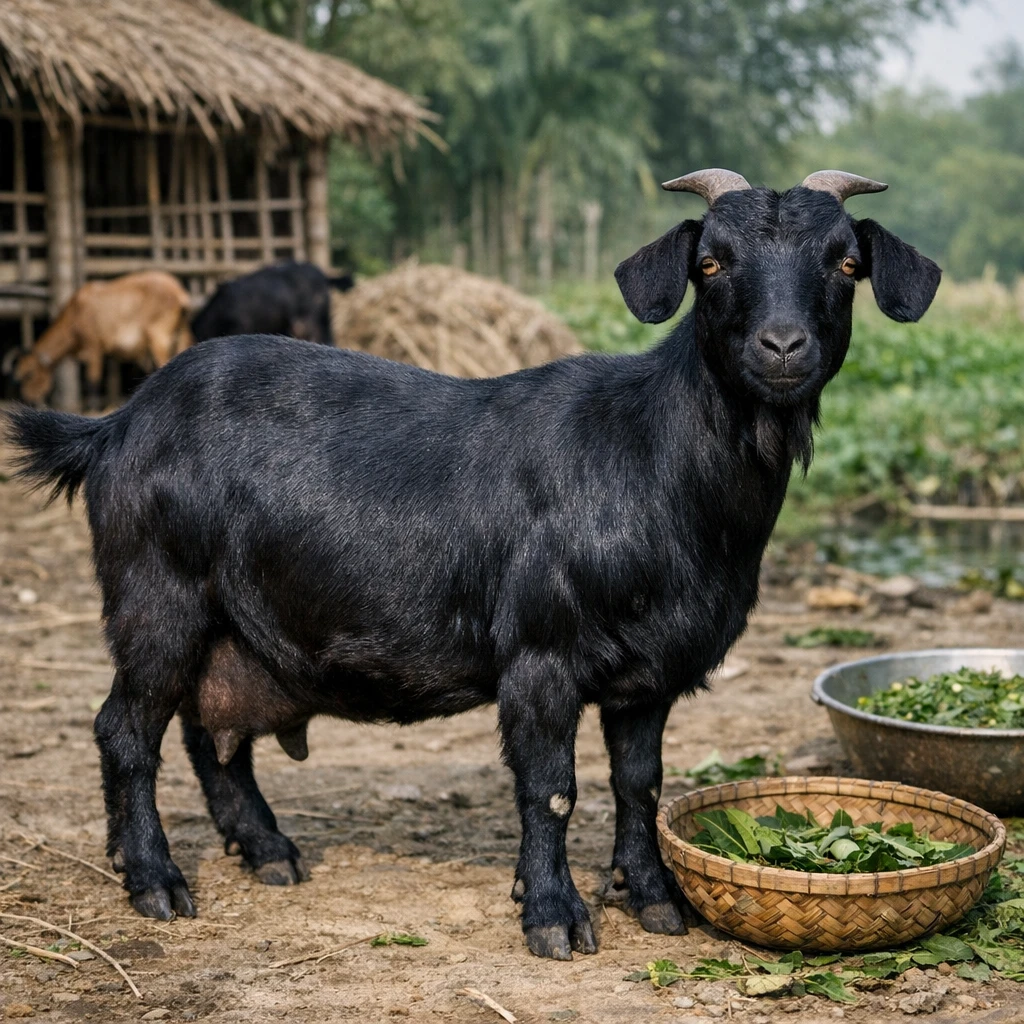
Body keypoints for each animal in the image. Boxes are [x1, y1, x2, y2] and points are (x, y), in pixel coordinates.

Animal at [10, 271, 192, 407]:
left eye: (29, 375)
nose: (29, 400)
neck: (74, 314)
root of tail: (179, 294)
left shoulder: (94, 346)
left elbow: (93, 380)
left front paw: (93, 406)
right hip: (181, 333)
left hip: (159, 335)